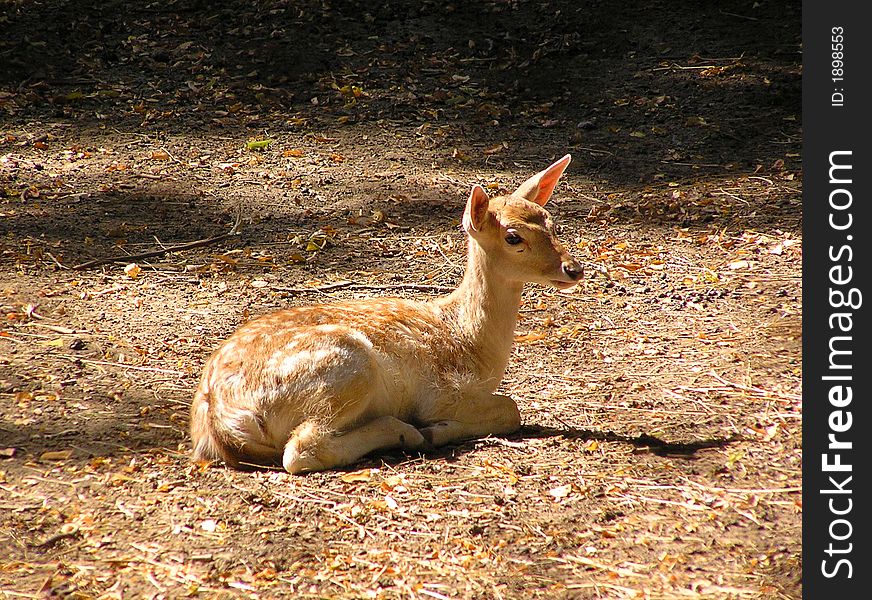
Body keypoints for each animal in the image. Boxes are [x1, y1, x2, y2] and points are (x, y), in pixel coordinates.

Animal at [192, 155, 584, 474]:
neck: (471, 343)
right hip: (346, 368)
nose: (574, 269)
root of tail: (219, 422)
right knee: (301, 450)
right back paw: (406, 431)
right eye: (513, 237)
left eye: (551, 222)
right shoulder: (442, 391)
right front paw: (438, 428)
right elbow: (510, 408)